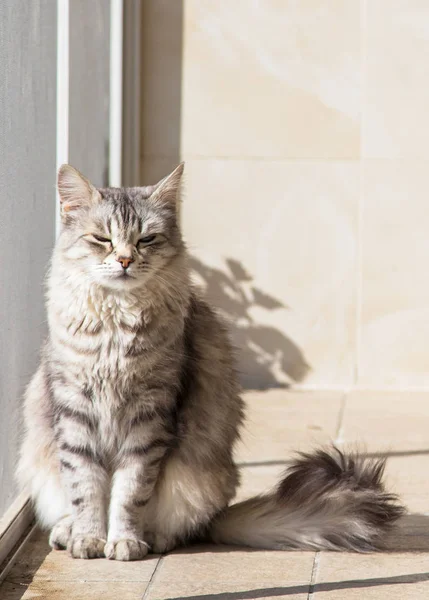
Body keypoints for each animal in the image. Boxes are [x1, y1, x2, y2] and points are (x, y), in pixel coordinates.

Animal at [15, 162, 402, 560]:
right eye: (103, 239)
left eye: (146, 240)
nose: (124, 260)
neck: (117, 327)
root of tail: (219, 514)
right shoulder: (75, 411)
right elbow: (86, 489)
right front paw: (89, 539)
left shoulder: (149, 416)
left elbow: (128, 493)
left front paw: (124, 541)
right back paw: (66, 532)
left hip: (198, 484)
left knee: (184, 529)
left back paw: (153, 538)